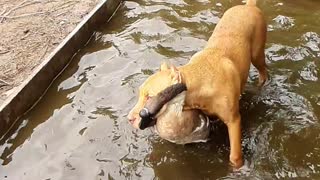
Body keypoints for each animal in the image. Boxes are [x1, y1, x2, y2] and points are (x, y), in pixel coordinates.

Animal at [127, 0, 268, 168]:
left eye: (150, 97)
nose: (129, 119)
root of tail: (248, 6)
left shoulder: (234, 121)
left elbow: (235, 156)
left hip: (257, 55)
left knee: (263, 72)